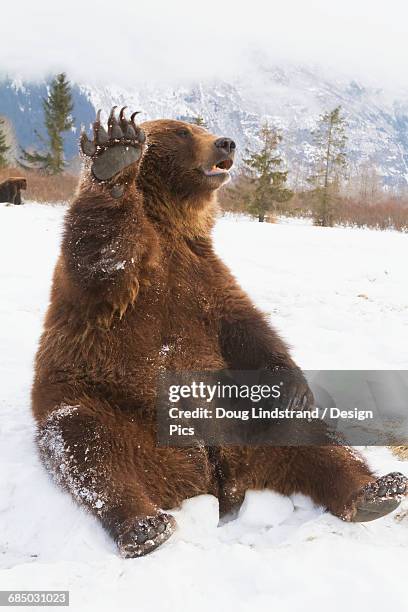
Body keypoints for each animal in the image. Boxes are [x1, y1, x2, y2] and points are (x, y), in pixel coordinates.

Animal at [32, 107, 408, 556]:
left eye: (203, 127)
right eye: (182, 131)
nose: (225, 142)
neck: (169, 225)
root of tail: (214, 479)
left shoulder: (205, 279)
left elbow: (247, 328)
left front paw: (294, 384)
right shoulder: (125, 286)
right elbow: (99, 257)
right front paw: (116, 154)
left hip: (242, 418)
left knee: (306, 433)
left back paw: (377, 491)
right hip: (114, 409)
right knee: (91, 449)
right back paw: (143, 526)